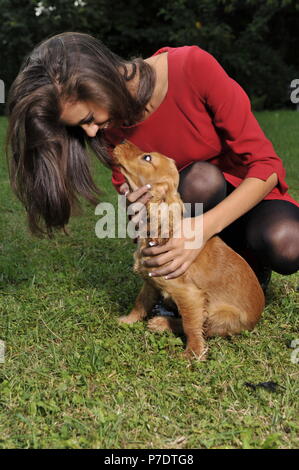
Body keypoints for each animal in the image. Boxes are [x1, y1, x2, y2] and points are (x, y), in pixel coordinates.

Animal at [112, 140, 264, 360]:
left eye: (147, 158)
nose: (122, 141)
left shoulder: (189, 294)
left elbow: (191, 325)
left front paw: (193, 353)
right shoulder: (150, 282)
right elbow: (140, 302)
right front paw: (128, 320)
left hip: (223, 315)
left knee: (204, 327)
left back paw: (163, 323)